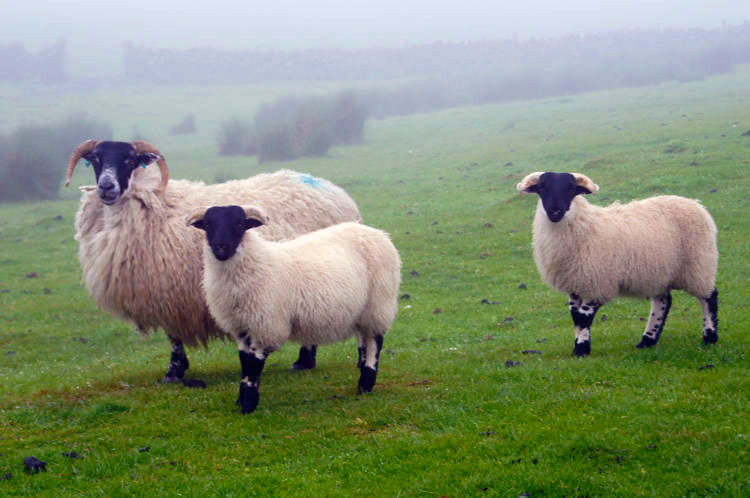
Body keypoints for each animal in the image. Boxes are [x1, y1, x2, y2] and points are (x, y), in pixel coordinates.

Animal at [65, 139, 364, 382]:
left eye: (129, 160)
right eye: (95, 159)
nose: (106, 186)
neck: (154, 204)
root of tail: (331, 188)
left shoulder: (170, 293)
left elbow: (174, 338)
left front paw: (174, 372)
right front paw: (177, 370)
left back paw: (304, 361)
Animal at [185, 204, 402, 414]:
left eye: (239, 224)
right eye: (208, 225)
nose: (221, 246)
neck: (257, 262)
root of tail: (377, 233)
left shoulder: (265, 325)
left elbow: (253, 366)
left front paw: (248, 405)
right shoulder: (241, 326)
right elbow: (244, 362)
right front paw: (241, 401)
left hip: (378, 304)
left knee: (374, 342)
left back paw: (366, 383)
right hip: (361, 311)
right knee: (364, 341)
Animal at [516, 173, 724, 356]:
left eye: (571, 189)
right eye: (542, 188)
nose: (555, 211)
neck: (584, 225)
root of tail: (695, 203)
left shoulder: (598, 283)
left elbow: (584, 316)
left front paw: (582, 349)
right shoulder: (575, 284)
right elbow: (575, 316)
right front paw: (578, 345)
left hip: (699, 265)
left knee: (709, 297)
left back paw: (709, 337)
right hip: (658, 273)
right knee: (663, 302)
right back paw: (647, 340)